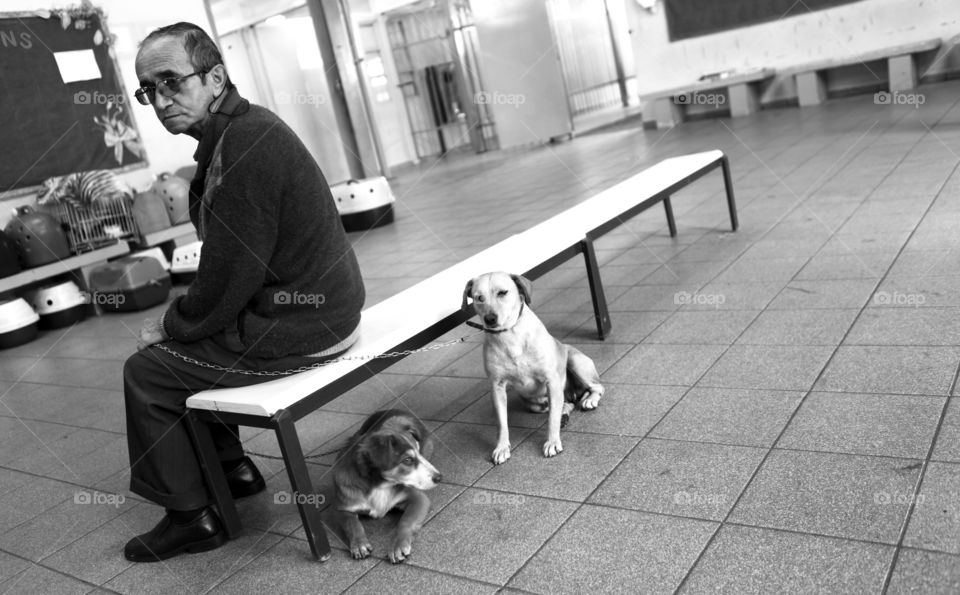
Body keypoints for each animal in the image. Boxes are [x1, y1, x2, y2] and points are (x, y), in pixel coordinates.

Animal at [330, 410, 442, 564]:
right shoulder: (342, 508)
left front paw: (397, 545)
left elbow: (406, 521)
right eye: (407, 460)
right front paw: (359, 544)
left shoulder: (418, 499)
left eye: (417, 453)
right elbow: (352, 524)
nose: (439, 477)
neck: (380, 485)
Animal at [462, 272, 604, 464]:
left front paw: (552, 441)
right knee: (562, 404)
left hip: (575, 361)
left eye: (502, 292)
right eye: (479, 298)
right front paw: (502, 447)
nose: (490, 319)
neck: (509, 335)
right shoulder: (497, 387)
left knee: (596, 387)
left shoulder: (551, 380)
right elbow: (501, 423)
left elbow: (551, 419)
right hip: (532, 401)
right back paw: (564, 413)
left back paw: (589, 400)